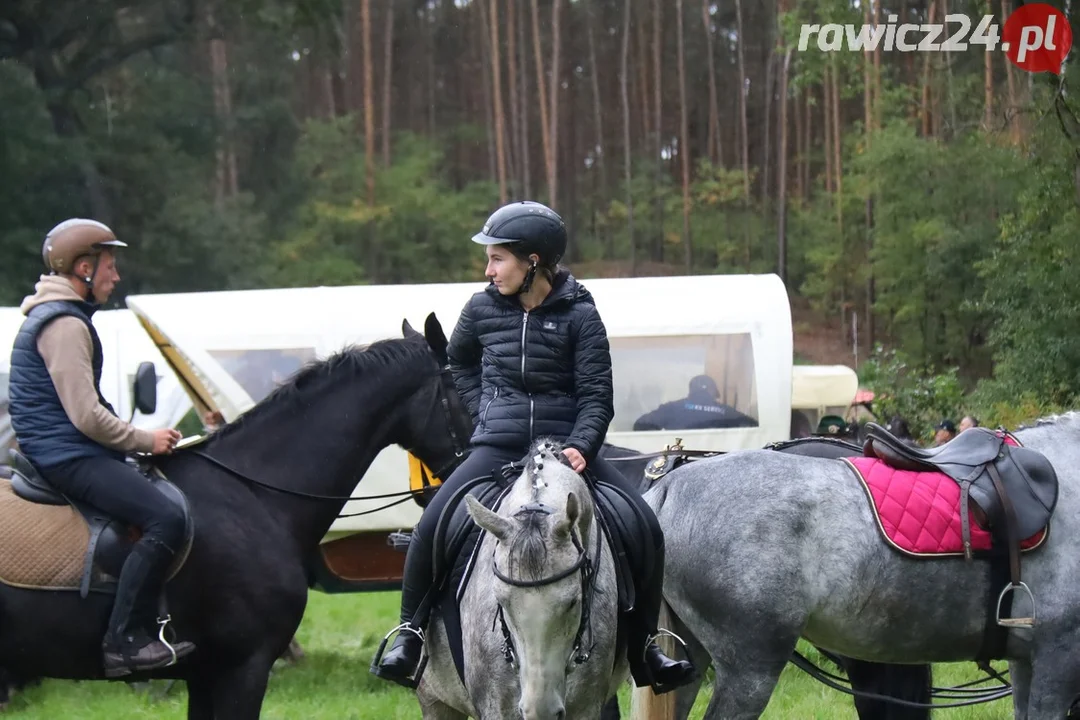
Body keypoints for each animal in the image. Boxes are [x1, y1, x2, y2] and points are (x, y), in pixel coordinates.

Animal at [416, 440, 626, 720]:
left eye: (573, 602)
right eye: (502, 603)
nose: (541, 711)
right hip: (434, 699)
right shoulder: (496, 706)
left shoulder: (587, 706)